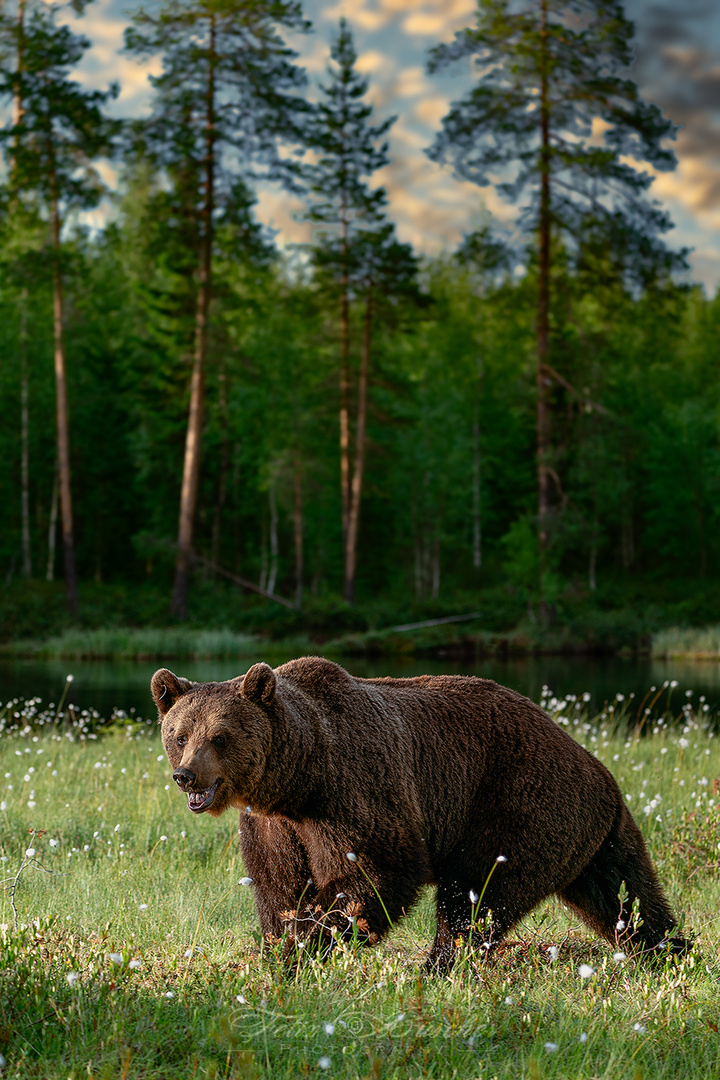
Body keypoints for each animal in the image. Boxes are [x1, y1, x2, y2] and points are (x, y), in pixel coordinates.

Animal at [151, 652, 686, 967]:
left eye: (220, 736)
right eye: (179, 734)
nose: (187, 776)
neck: (299, 779)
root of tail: (594, 764)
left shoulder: (353, 794)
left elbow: (375, 873)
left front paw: (319, 941)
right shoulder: (276, 825)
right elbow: (278, 885)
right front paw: (283, 947)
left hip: (517, 802)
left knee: (474, 895)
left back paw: (439, 964)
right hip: (591, 833)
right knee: (624, 894)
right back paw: (670, 951)